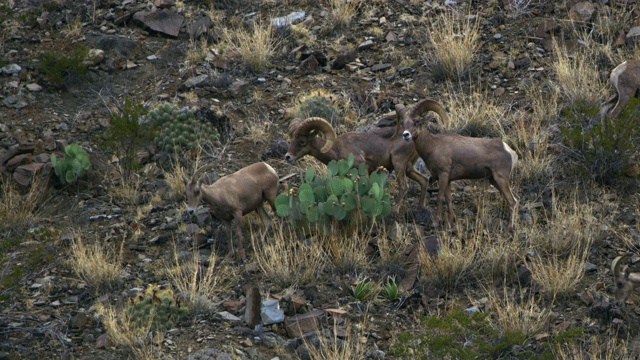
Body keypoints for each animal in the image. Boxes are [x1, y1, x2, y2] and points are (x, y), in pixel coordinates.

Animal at [286, 107, 450, 207]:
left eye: (302, 142)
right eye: (291, 140)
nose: (288, 157)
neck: (336, 149)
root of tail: (412, 137)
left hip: (399, 165)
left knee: (404, 187)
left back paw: (395, 210)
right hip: (409, 168)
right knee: (423, 181)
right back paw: (421, 207)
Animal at [400, 97, 520, 231]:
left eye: (416, 121)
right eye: (403, 124)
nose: (406, 135)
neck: (432, 146)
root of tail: (510, 151)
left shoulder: (443, 175)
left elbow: (440, 197)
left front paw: (436, 222)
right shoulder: (448, 180)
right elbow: (448, 199)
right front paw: (451, 220)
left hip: (500, 179)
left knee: (512, 201)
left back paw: (509, 227)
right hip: (494, 180)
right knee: (515, 199)